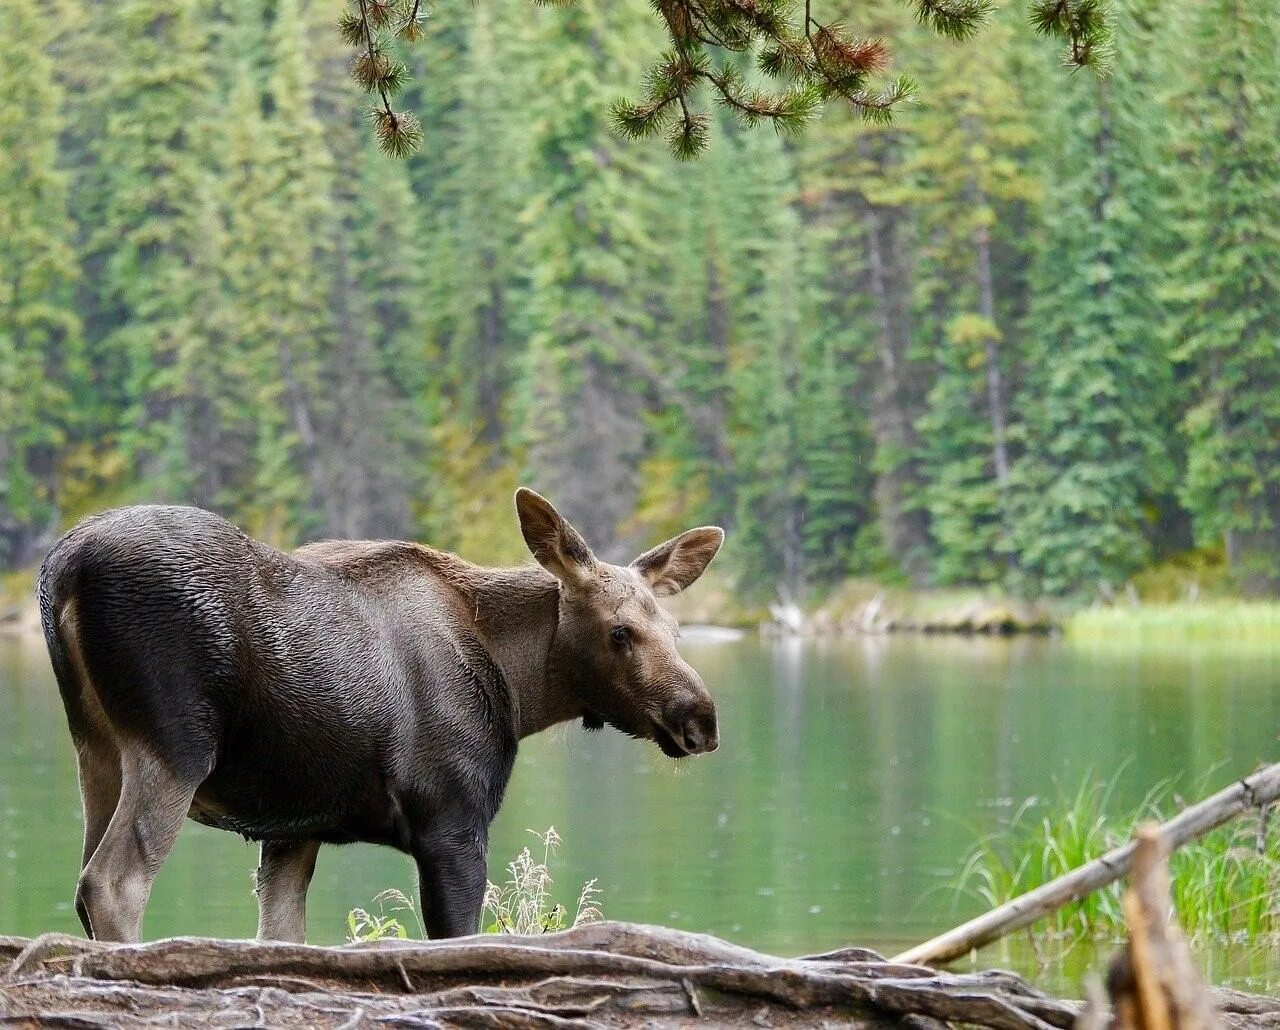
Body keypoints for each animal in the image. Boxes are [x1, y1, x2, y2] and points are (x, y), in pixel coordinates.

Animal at [37, 491, 721, 941]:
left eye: (677, 630)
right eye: (620, 632)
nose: (702, 718)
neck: (519, 685)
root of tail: (62, 567)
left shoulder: (293, 826)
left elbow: (282, 935)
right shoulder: (453, 818)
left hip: (95, 750)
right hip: (174, 748)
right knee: (114, 883)